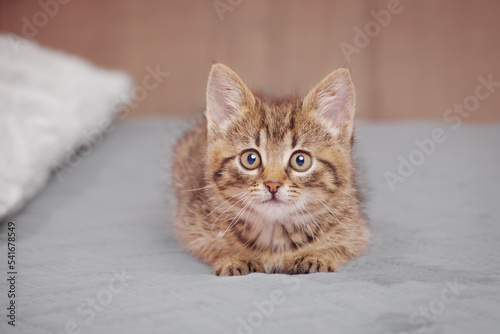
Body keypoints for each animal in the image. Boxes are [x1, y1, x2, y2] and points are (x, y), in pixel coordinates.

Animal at [172, 64, 368, 276]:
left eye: (300, 160)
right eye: (250, 159)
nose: (273, 185)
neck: (275, 232)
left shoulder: (356, 228)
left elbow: (341, 246)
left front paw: (316, 256)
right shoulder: (191, 224)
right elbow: (212, 246)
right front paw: (235, 259)